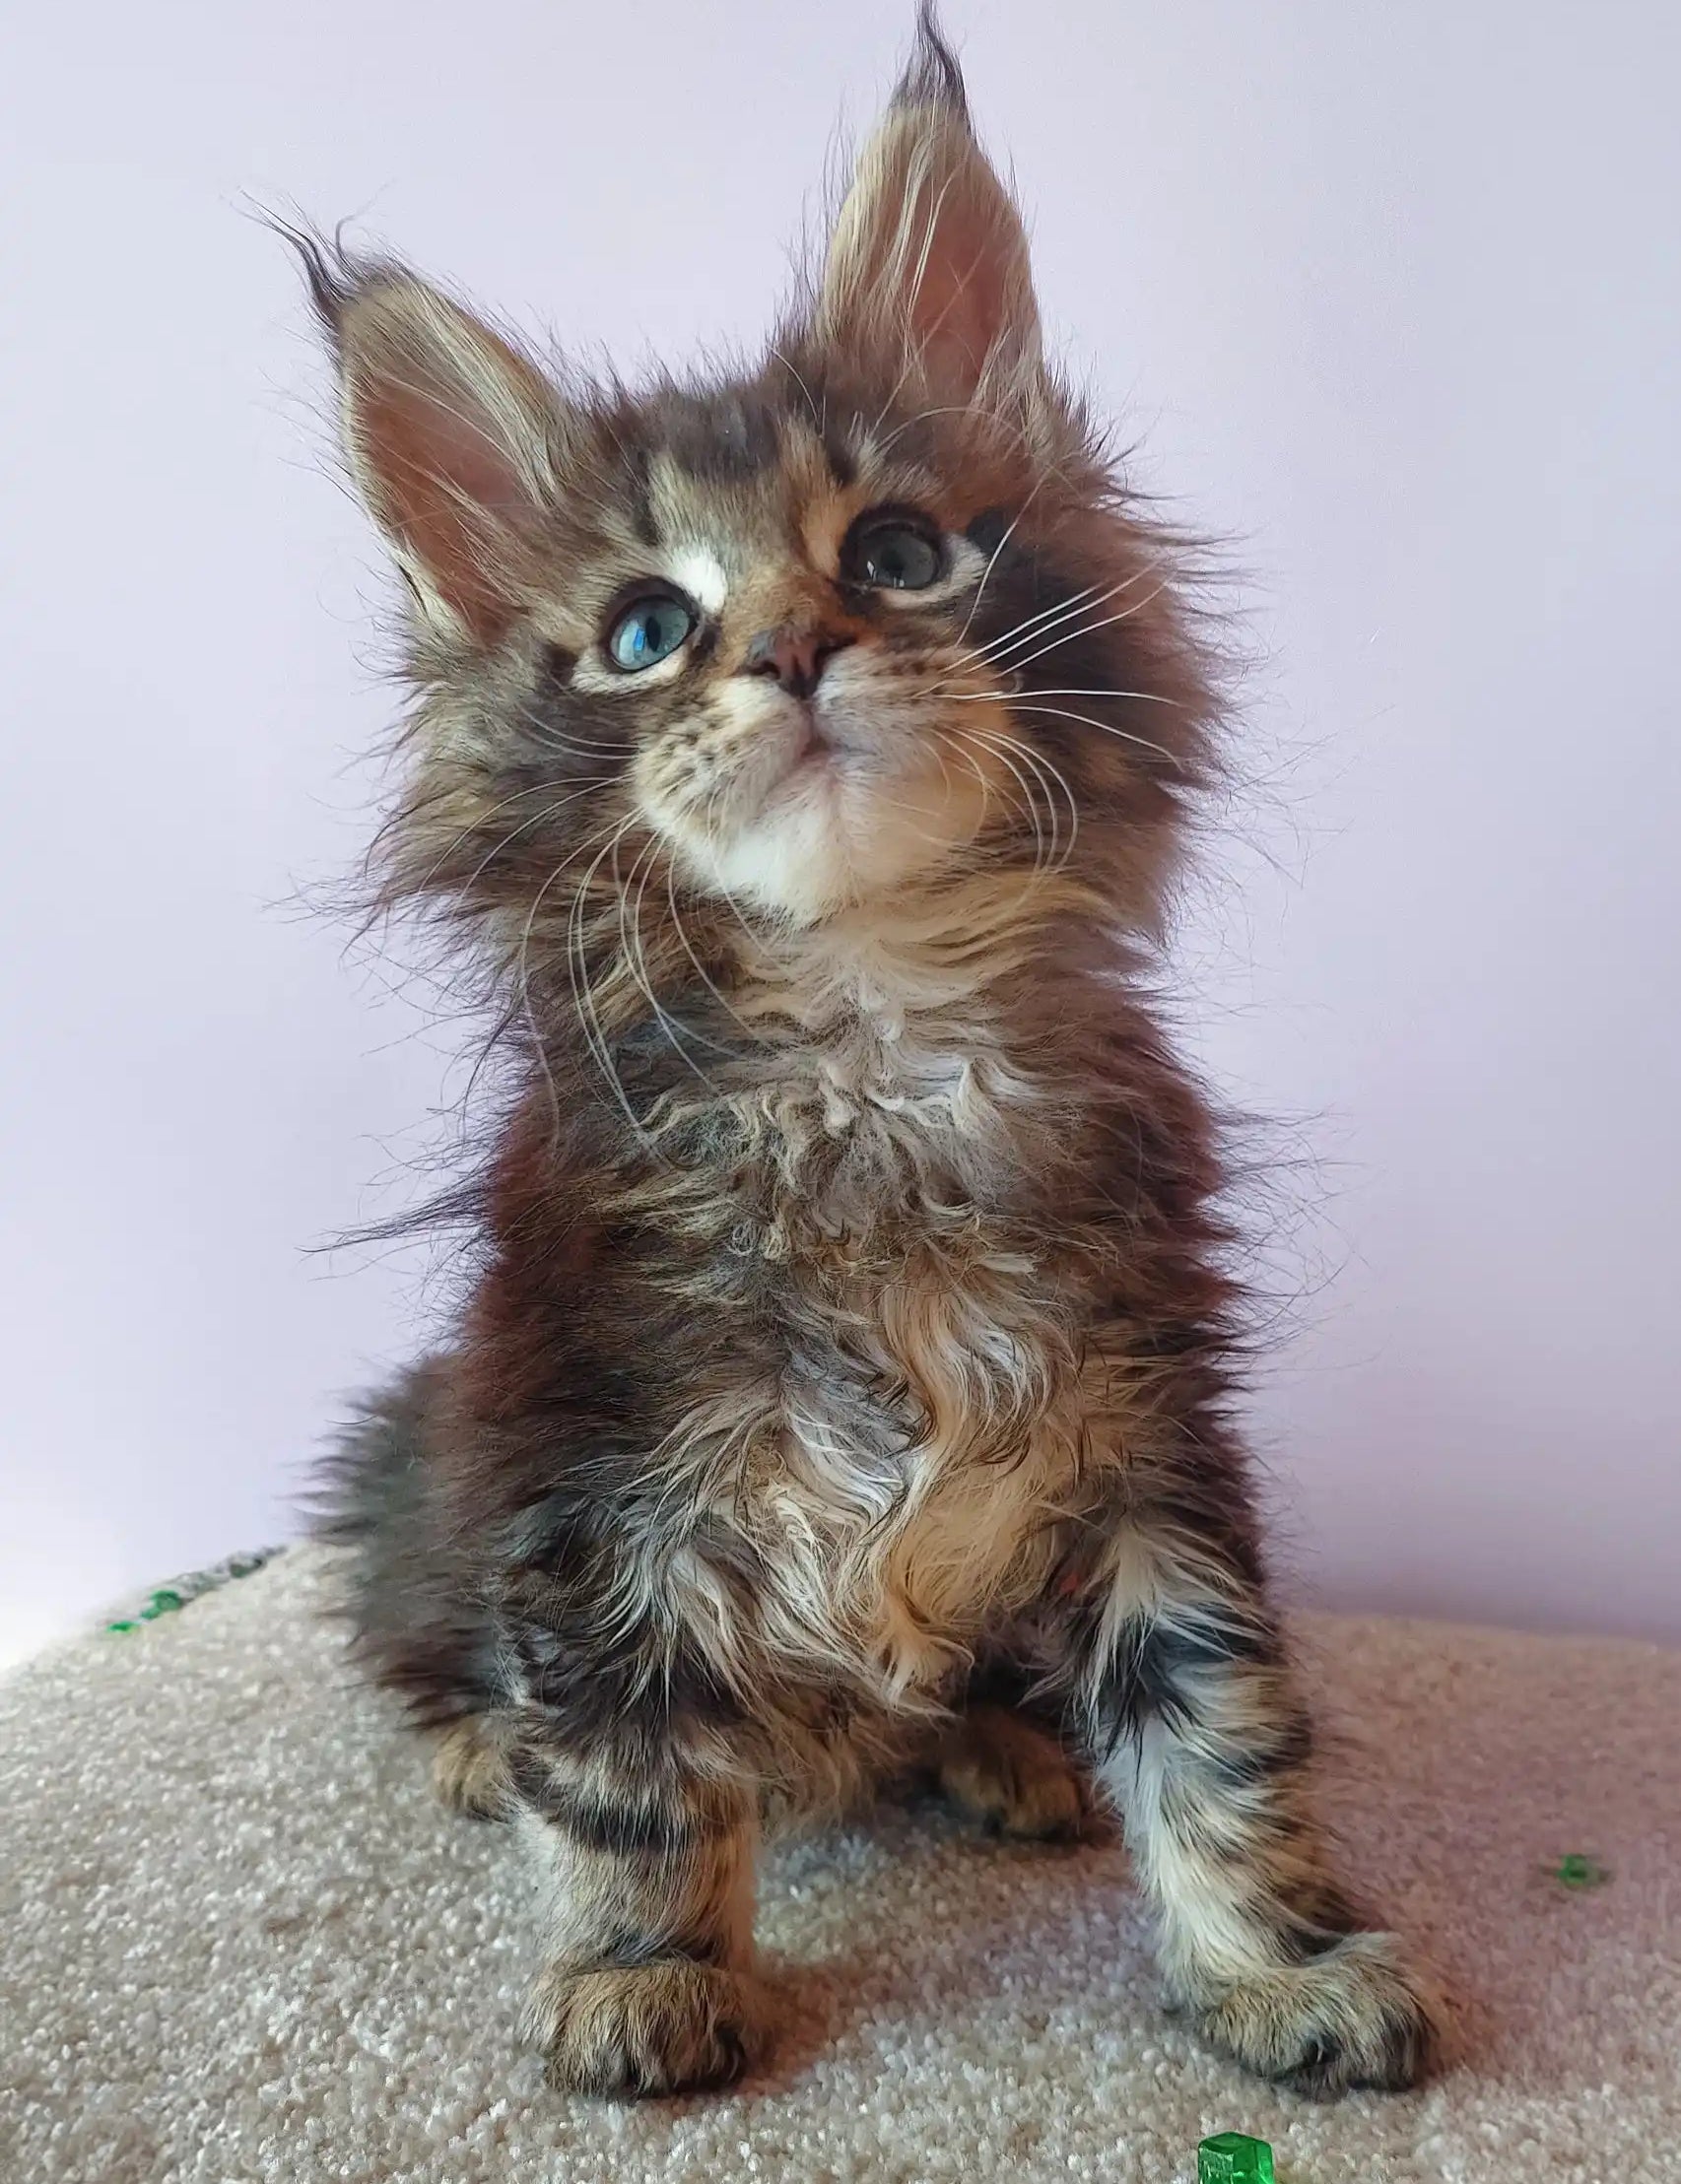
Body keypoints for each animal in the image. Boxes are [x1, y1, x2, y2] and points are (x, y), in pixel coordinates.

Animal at [301, 8, 1432, 2105]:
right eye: (645, 630)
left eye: (898, 551)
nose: (795, 648)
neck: (871, 1036)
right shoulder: (589, 1473)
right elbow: (631, 1760)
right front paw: (644, 1972)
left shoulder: (1145, 1430)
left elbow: (1219, 1724)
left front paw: (1281, 1959)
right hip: (418, 1461)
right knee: (440, 1646)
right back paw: (475, 1744)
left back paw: (1002, 1746)